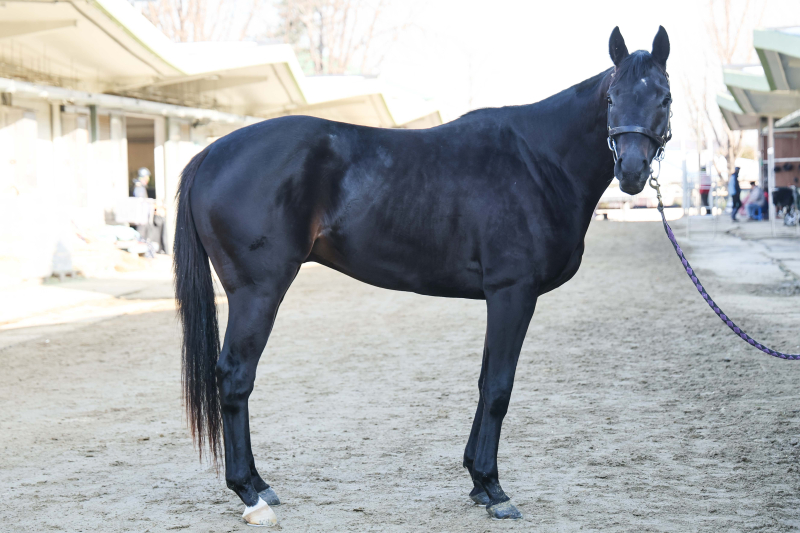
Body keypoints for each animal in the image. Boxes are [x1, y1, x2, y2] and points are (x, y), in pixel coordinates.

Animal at [173, 26, 668, 524]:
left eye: (663, 97)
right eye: (612, 98)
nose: (631, 171)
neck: (539, 160)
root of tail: (211, 152)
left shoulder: (500, 298)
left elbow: (485, 381)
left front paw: (477, 483)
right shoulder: (513, 293)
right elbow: (499, 388)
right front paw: (495, 489)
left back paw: (260, 484)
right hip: (257, 292)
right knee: (235, 376)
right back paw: (250, 495)